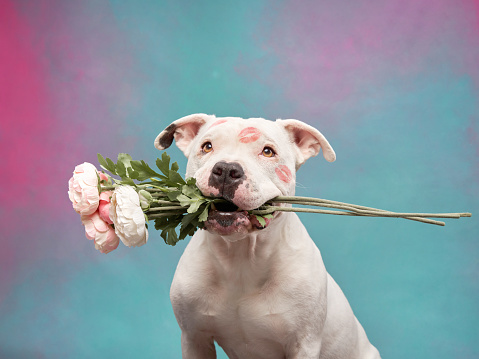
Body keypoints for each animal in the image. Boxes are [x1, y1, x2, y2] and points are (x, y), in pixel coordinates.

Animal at [156, 114, 380, 358]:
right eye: (207, 146)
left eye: (267, 152)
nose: (226, 169)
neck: (240, 258)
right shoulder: (194, 338)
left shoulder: (304, 345)